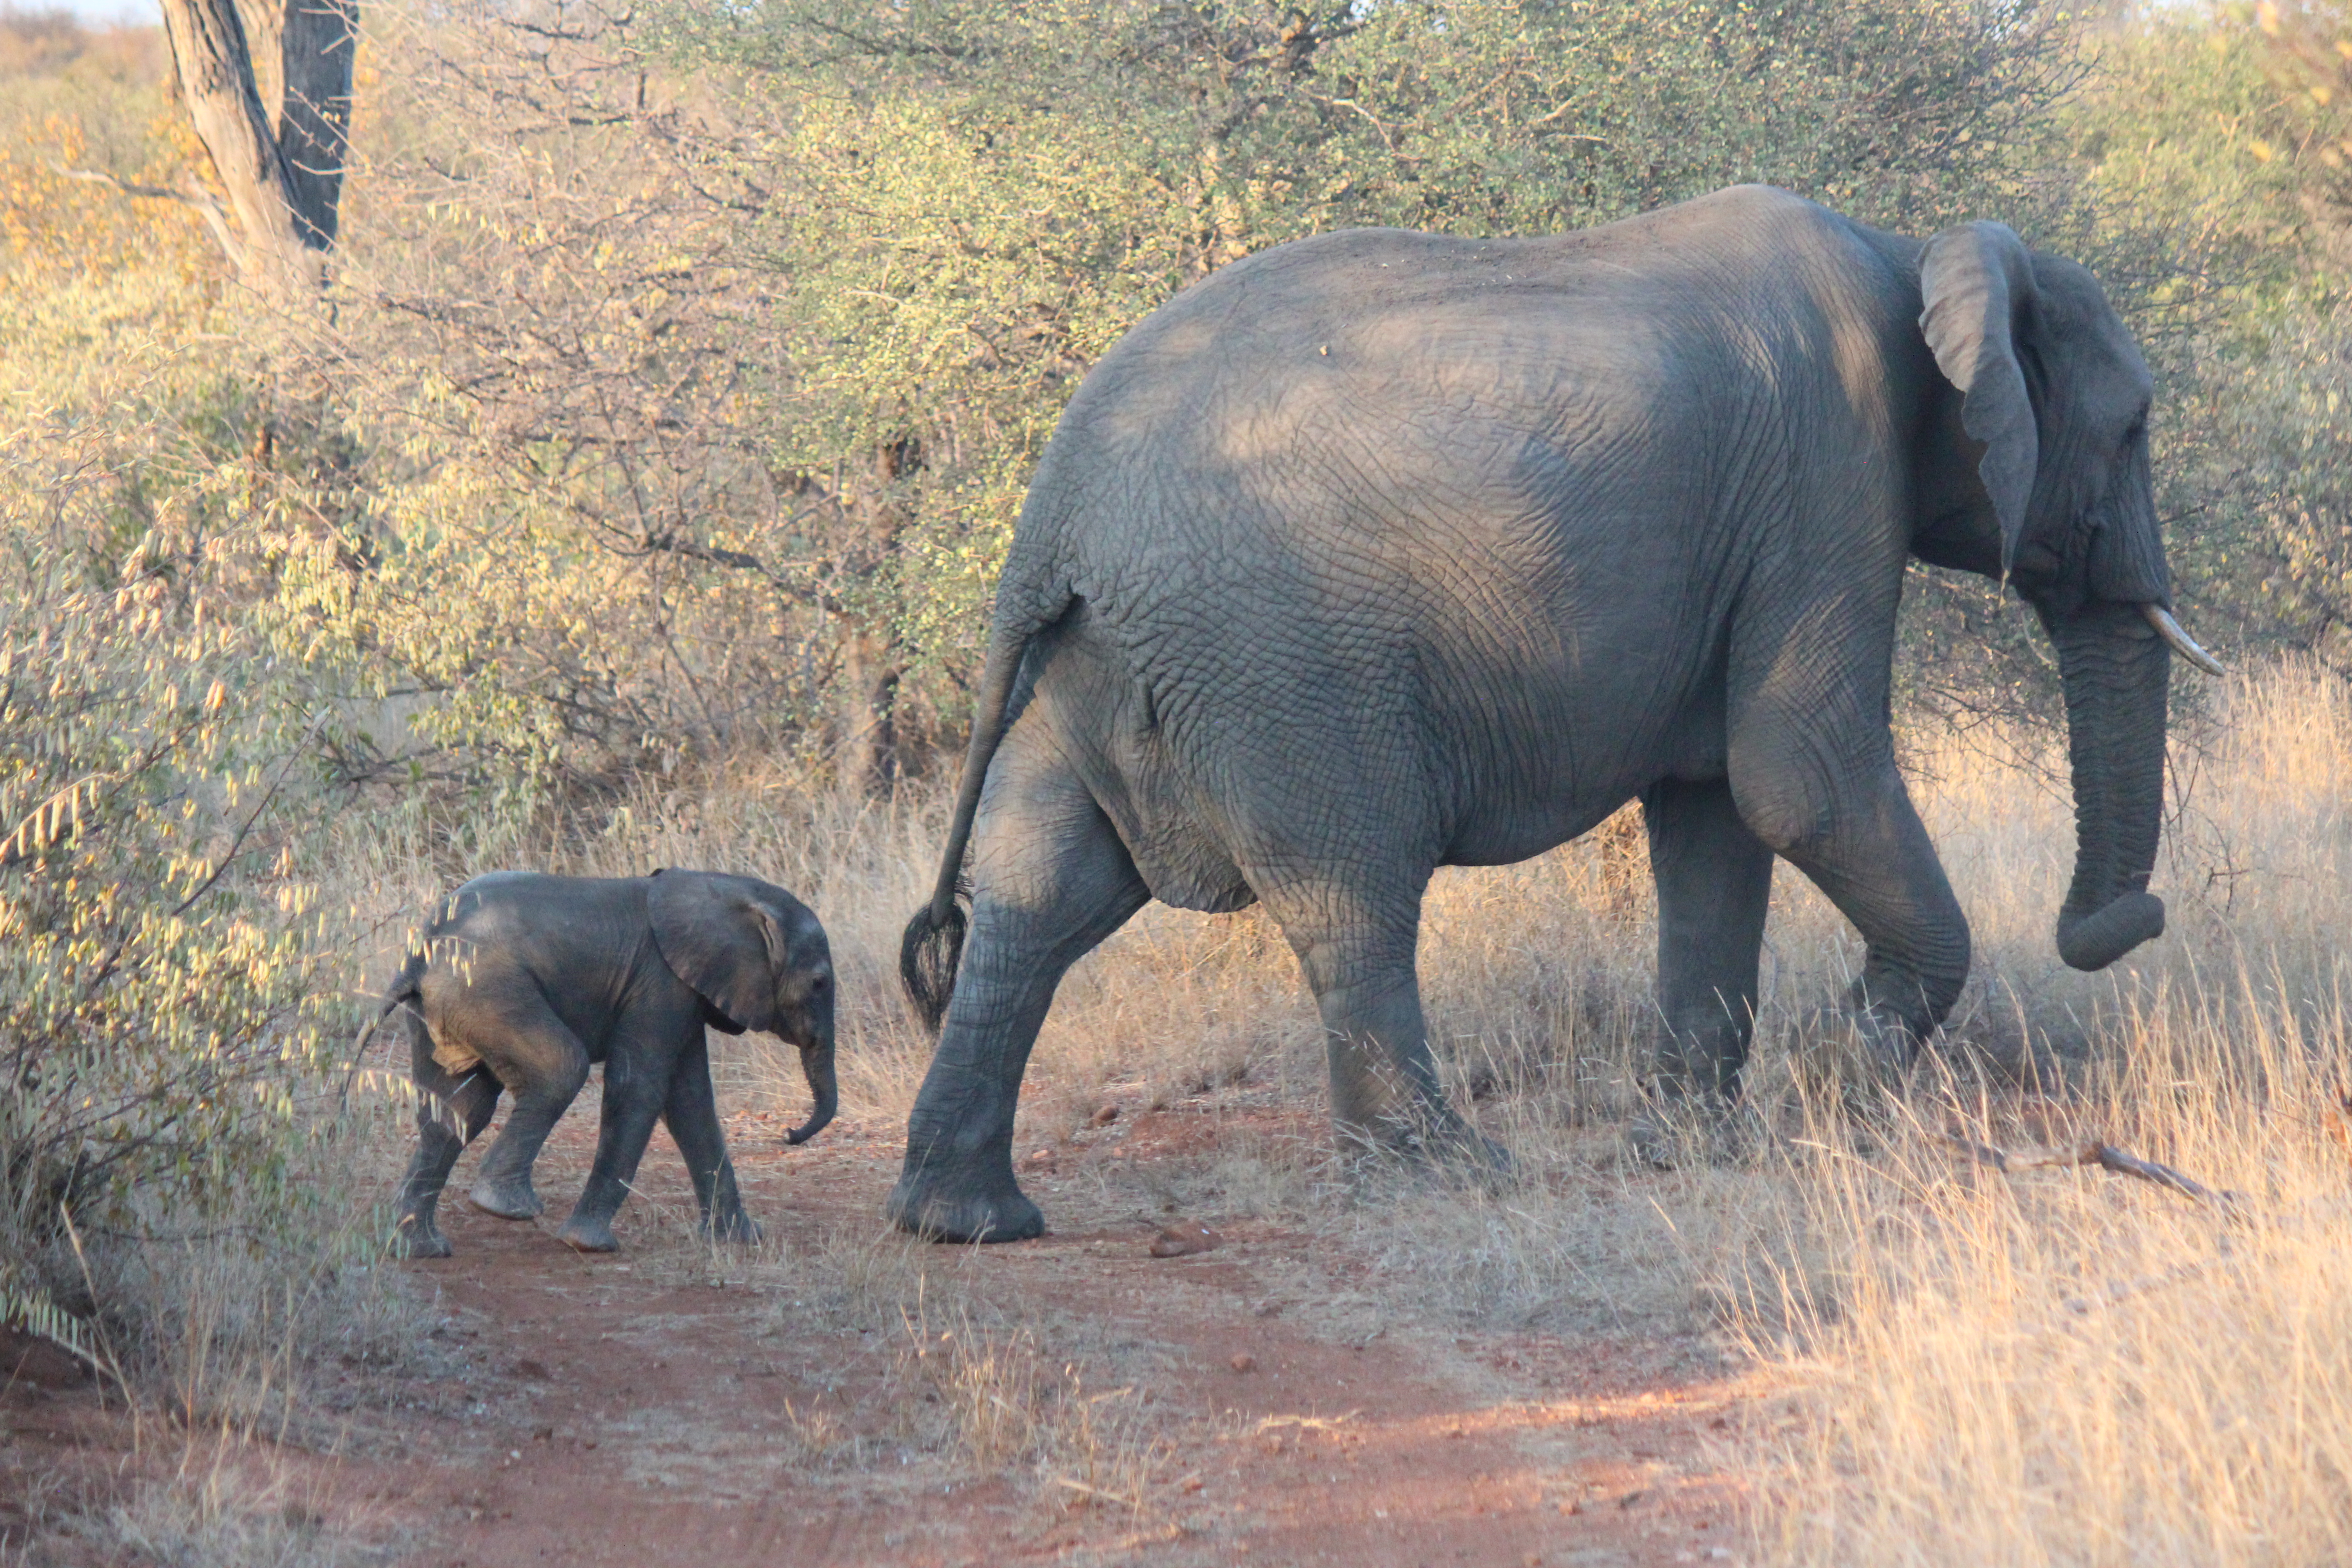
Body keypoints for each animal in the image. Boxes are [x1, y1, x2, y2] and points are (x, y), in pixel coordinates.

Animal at [382, 869, 836, 1257]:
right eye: (819, 983)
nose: (788, 1134)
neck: (732, 891)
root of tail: (418, 953)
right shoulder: (661, 983)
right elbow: (638, 1089)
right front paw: (588, 1244)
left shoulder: (686, 991)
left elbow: (690, 1104)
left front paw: (743, 1240)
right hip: (487, 990)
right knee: (561, 1069)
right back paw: (504, 1207)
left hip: (447, 1007)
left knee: (457, 1110)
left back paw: (421, 1248)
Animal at [890, 183, 2223, 1244]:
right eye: (2135, 428)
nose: (2121, 922)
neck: (1917, 251)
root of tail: (1050, 523)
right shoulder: (1830, 468)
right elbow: (1798, 776)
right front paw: (1857, 1069)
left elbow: (1716, 814)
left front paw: (1695, 1141)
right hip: (1277, 665)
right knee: (1353, 899)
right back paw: (1446, 1175)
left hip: (1101, 665)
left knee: (1039, 898)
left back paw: (966, 1222)